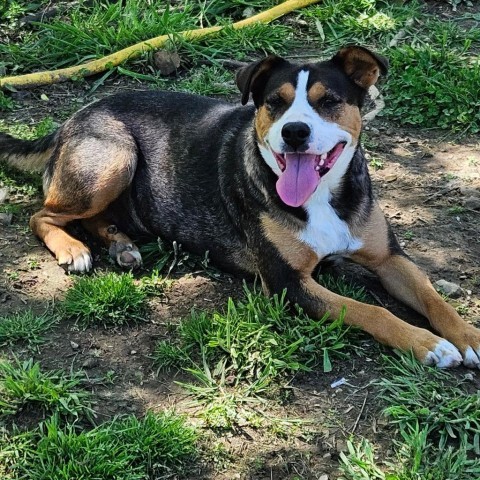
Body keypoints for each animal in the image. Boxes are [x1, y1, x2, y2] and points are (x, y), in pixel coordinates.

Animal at [0, 46, 480, 368]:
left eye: (329, 101)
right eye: (274, 102)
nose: (295, 132)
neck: (321, 196)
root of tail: (73, 118)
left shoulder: (390, 258)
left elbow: (434, 298)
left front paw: (467, 336)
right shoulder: (288, 283)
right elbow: (371, 310)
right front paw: (428, 344)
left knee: (92, 217)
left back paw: (121, 245)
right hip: (113, 157)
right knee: (42, 214)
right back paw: (72, 249)